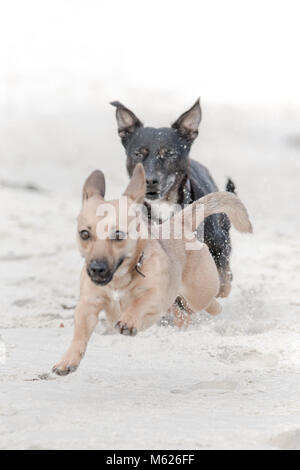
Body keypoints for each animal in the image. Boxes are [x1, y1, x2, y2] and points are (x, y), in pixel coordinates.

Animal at [52, 163, 252, 376]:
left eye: (118, 235)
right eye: (84, 234)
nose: (96, 269)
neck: (119, 280)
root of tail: (178, 223)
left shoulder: (156, 299)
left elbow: (139, 304)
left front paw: (129, 320)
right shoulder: (88, 305)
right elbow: (79, 334)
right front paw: (67, 360)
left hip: (199, 293)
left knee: (211, 302)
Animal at [110, 99, 234, 298]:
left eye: (169, 153)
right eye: (138, 154)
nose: (150, 180)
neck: (165, 205)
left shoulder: (218, 245)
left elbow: (221, 280)